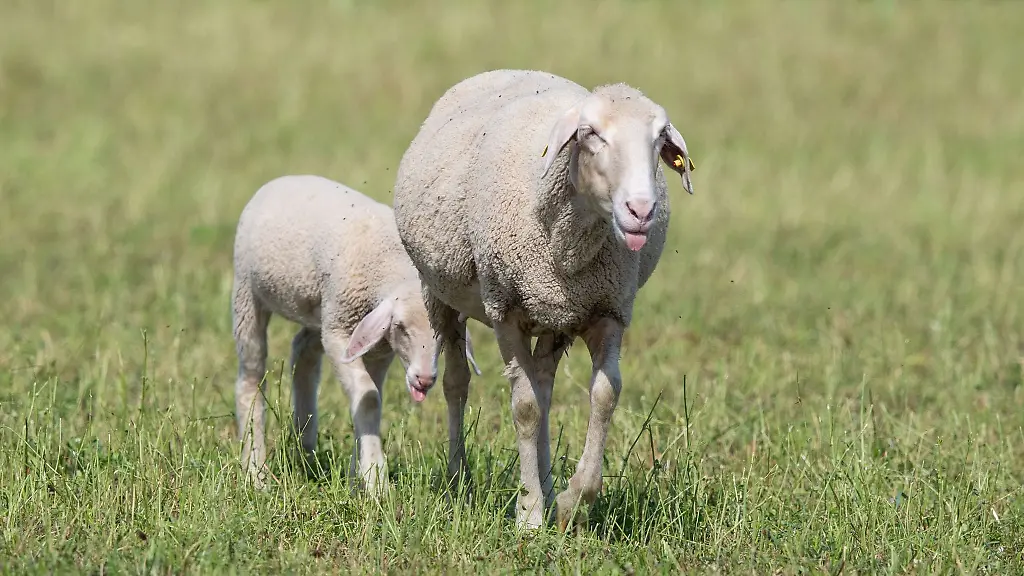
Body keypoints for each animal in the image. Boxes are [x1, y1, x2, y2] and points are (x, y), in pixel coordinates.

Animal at [231, 174, 480, 495]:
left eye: (445, 334)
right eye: (401, 327)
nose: (424, 380)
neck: (391, 263)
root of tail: (281, 179)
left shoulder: (376, 347)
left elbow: (367, 399)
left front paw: (357, 480)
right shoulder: (339, 331)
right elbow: (368, 397)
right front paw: (376, 483)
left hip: (318, 311)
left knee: (303, 352)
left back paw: (305, 451)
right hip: (248, 294)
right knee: (250, 377)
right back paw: (255, 472)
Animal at [391, 69, 695, 529]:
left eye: (660, 139)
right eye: (590, 133)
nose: (641, 210)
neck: (572, 248)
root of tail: (501, 70)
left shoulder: (608, 309)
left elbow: (604, 396)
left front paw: (569, 501)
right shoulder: (505, 309)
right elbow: (526, 408)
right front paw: (530, 514)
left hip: (554, 320)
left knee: (545, 386)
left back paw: (547, 490)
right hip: (441, 294)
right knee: (457, 383)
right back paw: (460, 479)